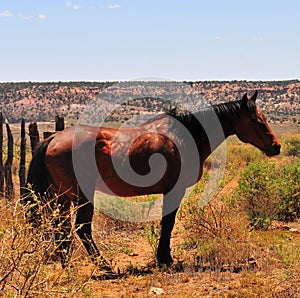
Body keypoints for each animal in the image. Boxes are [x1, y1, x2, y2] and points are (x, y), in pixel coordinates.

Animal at [24, 92, 280, 272]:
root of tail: (53, 139)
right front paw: (165, 259)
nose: (276, 146)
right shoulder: (174, 190)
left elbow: (167, 223)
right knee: (81, 228)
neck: (184, 137)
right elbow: (168, 224)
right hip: (80, 197)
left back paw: (67, 264)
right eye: (257, 120)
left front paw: (163, 257)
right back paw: (103, 265)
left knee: (61, 229)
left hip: (61, 199)